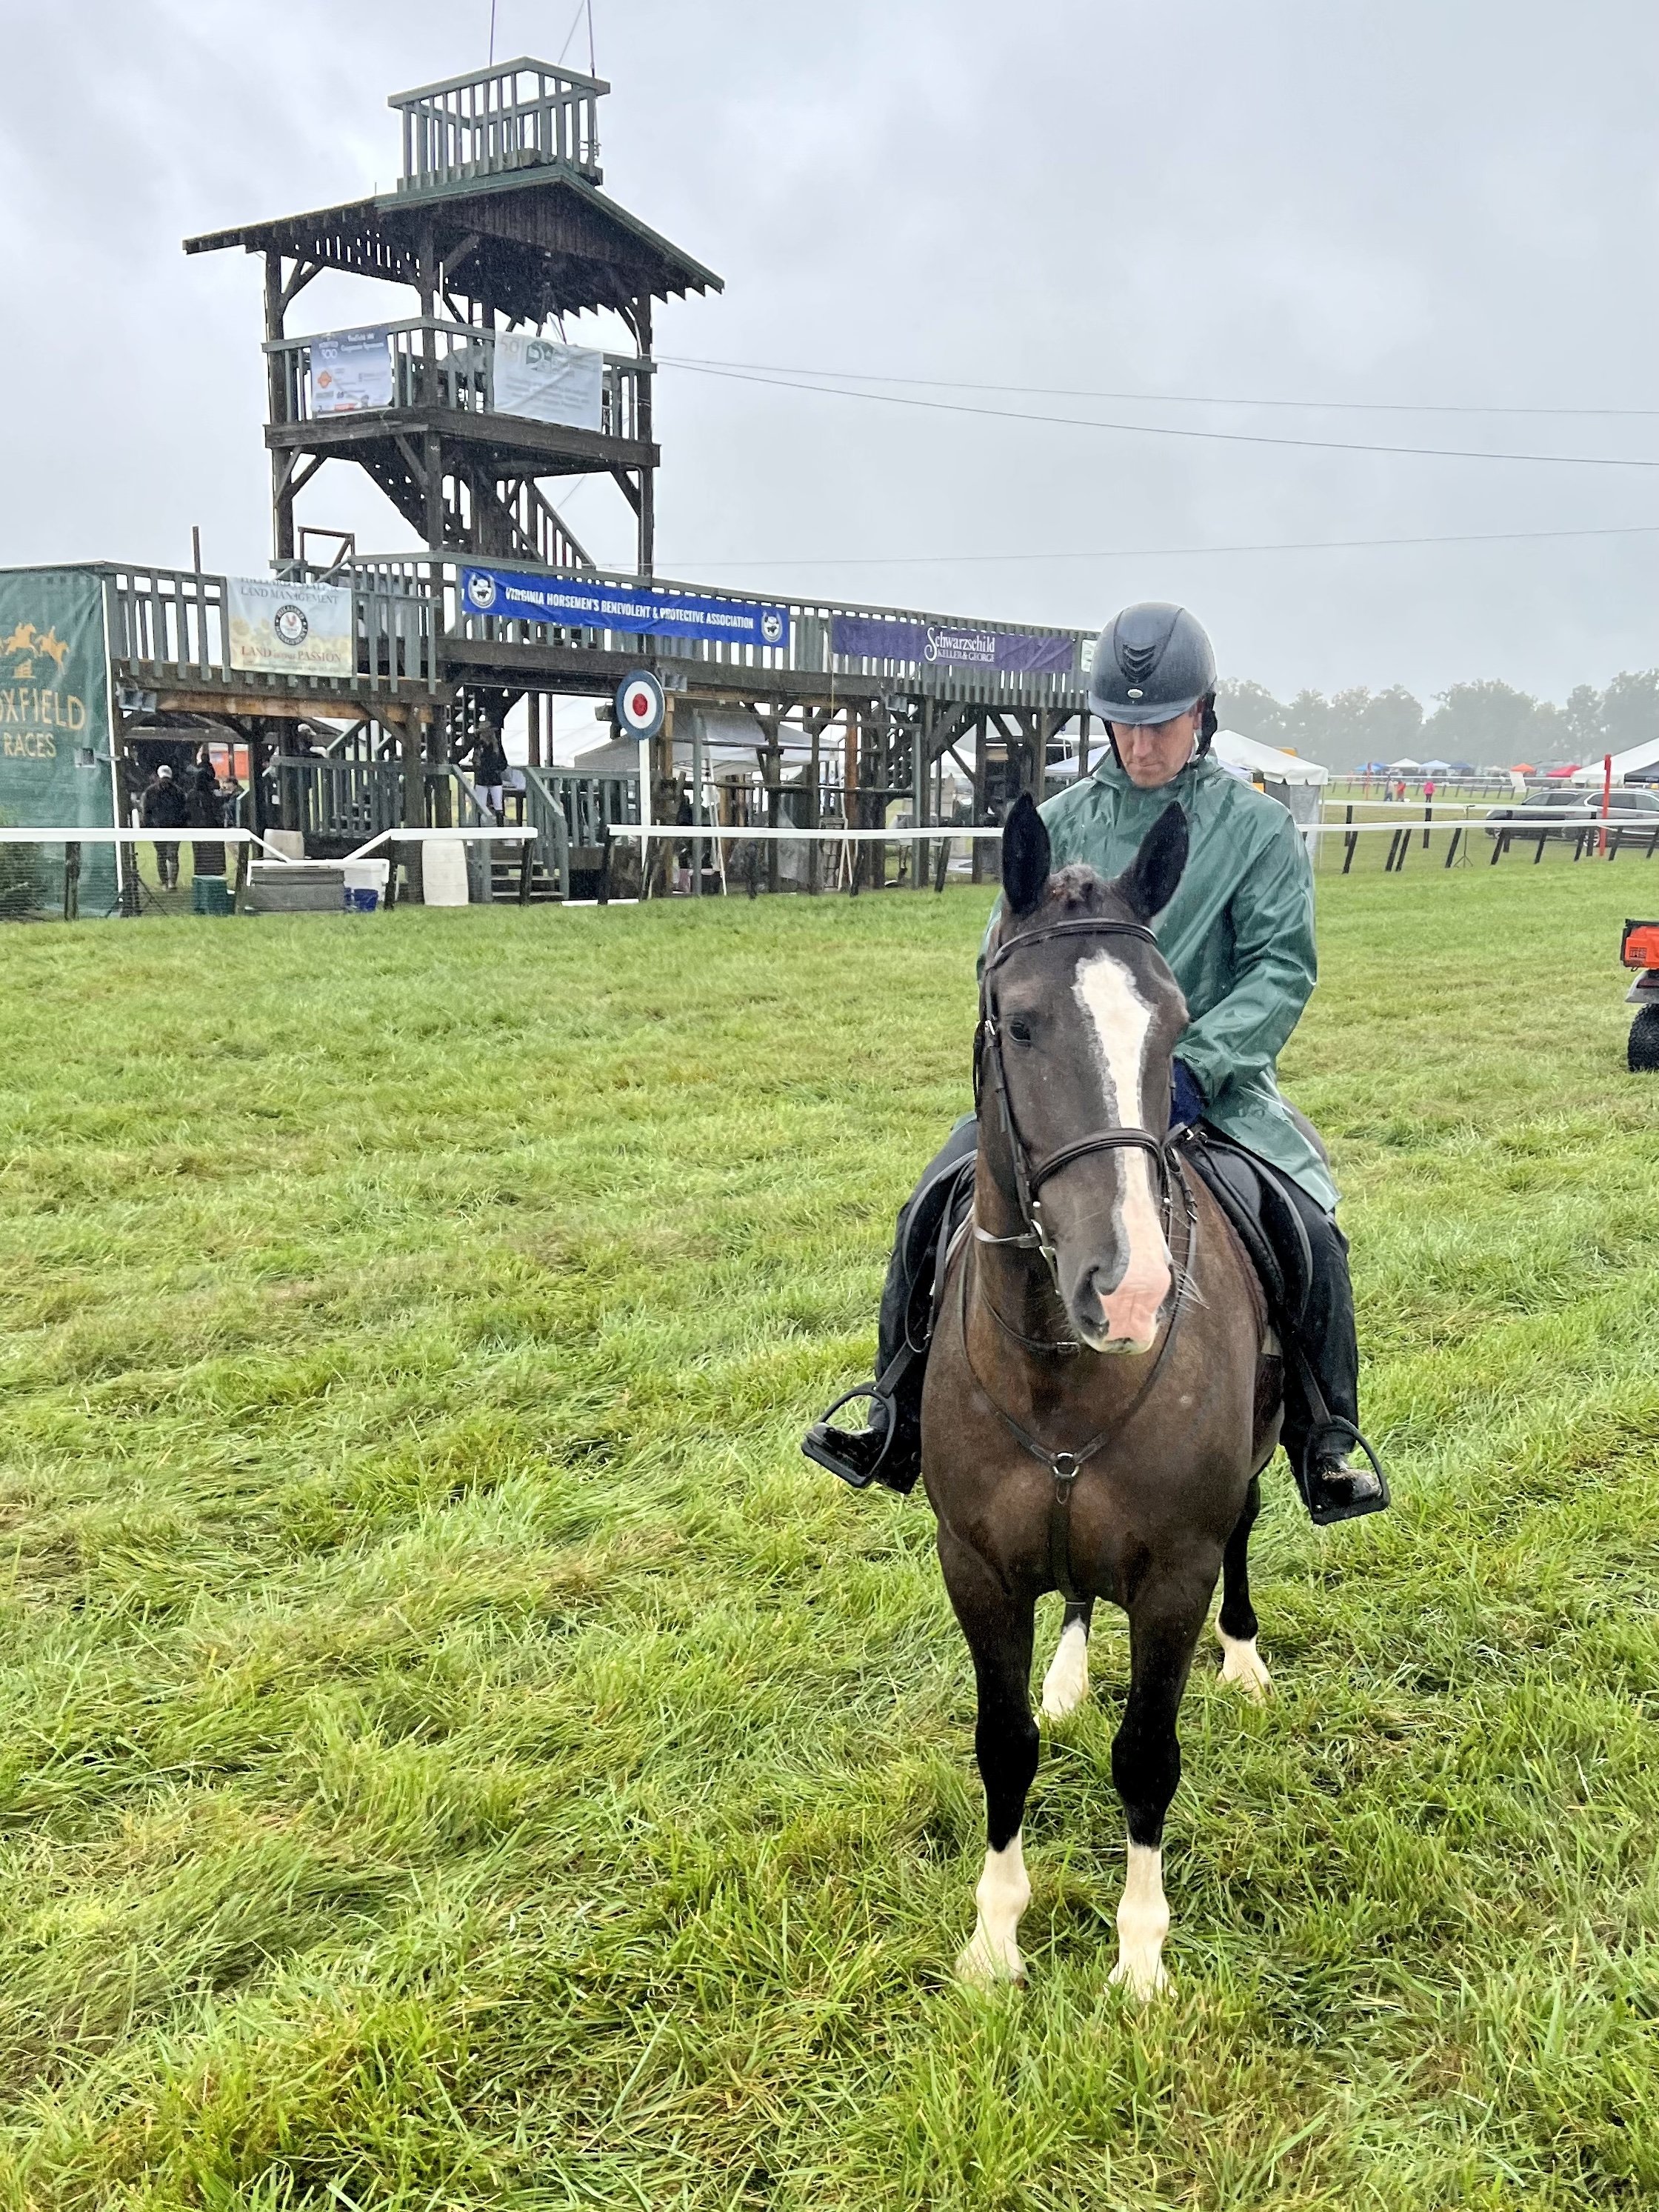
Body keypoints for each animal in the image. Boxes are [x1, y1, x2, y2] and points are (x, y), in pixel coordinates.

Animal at [929, 800, 1283, 2008]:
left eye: (1172, 1026)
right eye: (1021, 1024)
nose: (1127, 1292)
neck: (1059, 1371)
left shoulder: (1174, 1572)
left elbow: (1147, 1759)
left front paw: (1138, 1957)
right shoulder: (976, 1568)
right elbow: (1001, 1746)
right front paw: (994, 1937)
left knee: (1250, 1532)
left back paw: (1246, 1656)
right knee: (1079, 1596)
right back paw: (1071, 1672)